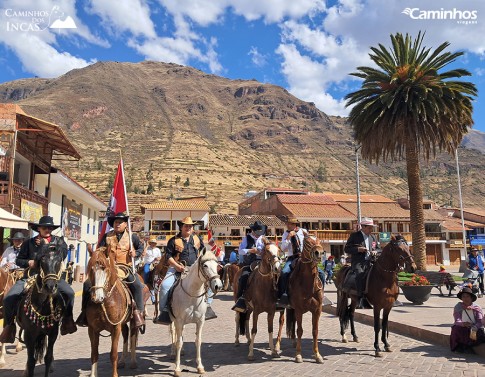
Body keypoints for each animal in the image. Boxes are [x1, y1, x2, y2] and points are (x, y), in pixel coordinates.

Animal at [86, 247, 139, 376]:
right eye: (91, 269)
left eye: (105, 269)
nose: (97, 297)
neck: (105, 302)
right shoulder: (92, 329)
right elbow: (94, 354)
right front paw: (93, 374)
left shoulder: (115, 328)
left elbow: (113, 354)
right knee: (126, 334)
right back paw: (122, 361)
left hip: (132, 321)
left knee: (133, 336)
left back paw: (133, 362)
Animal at [286, 232, 324, 362]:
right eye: (307, 242)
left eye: (319, 240)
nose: (319, 253)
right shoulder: (298, 309)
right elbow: (300, 330)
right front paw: (298, 354)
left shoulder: (317, 310)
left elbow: (315, 331)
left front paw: (317, 355)